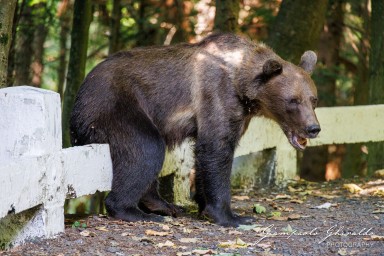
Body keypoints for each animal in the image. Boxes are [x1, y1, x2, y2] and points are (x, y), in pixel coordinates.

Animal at [70, 33, 320, 227]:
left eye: (313, 99)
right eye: (293, 101)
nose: (313, 128)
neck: (242, 82)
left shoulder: (238, 113)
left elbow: (205, 156)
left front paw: (202, 204)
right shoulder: (216, 95)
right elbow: (216, 149)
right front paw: (231, 216)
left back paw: (165, 206)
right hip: (113, 106)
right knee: (146, 147)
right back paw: (136, 212)